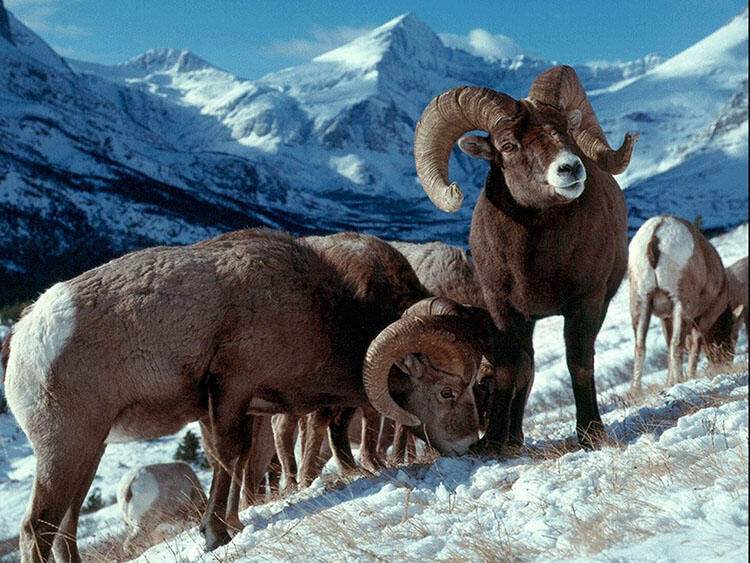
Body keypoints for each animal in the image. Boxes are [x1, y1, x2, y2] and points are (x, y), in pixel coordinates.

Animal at [4, 227, 488, 560]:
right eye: (447, 392)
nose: (470, 445)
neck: (316, 312)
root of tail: (25, 334)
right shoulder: (231, 393)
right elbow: (229, 457)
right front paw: (216, 534)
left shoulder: (246, 407)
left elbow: (240, 464)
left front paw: (231, 526)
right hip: (65, 447)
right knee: (36, 529)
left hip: (90, 452)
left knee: (64, 529)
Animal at [412, 66, 640, 452]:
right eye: (508, 145)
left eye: (565, 129)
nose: (570, 169)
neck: (535, 265)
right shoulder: (503, 310)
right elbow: (509, 370)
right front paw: (492, 444)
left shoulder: (586, 304)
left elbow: (579, 363)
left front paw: (590, 433)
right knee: (525, 366)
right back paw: (513, 438)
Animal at [636, 216, 748, 392]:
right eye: (732, 338)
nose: (725, 364)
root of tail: (656, 235)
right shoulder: (703, 319)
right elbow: (695, 345)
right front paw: (688, 376)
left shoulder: (666, 318)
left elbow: (668, 347)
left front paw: (669, 382)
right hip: (681, 304)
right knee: (677, 344)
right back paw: (679, 380)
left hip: (640, 301)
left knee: (640, 346)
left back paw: (636, 391)